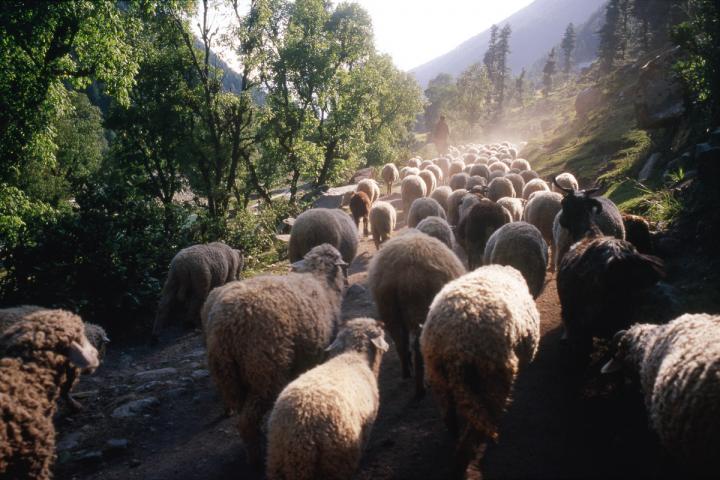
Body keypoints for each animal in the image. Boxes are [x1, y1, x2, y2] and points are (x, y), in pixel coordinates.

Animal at [205, 244, 347, 466]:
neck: (320, 280)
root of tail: (226, 326)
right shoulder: (316, 353)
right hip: (264, 371)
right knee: (247, 420)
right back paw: (256, 456)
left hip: (229, 375)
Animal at [368, 232, 465, 397]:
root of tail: (408, 275)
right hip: (420, 312)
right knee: (418, 347)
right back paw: (421, 388)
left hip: (390, 312)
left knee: (401, 343)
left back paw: (407, 373)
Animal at [421, 265, 540, 476]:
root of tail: (453, 343)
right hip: (493, 379)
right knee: (478, 426)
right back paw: (465, 460)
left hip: (438, 377)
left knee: (450, 417)